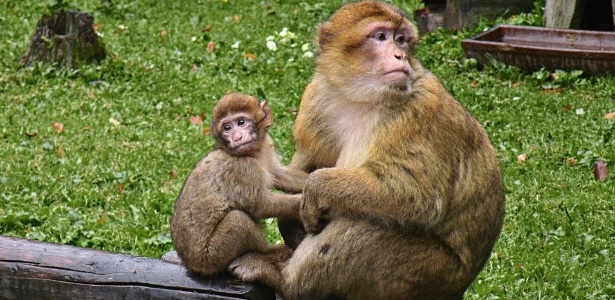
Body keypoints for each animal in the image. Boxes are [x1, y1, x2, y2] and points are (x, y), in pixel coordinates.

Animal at [170, 92, 306, 276]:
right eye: (227, 128)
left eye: (241, 122)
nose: (237, 137)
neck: (254, 153)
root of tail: (191, 264)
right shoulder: (244, 168)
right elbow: (261, 206)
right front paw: (307, 199)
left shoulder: (266, 146)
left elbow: (278, 175)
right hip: (212, 256)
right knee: (237, 219)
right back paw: (267, 252)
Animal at [231, 1, 506, 298]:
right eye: (381, 37)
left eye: (401, 40)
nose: (400, 55)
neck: (361, 98)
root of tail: (460, 286)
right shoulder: (318, 97)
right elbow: (306, 163)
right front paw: (288, 207)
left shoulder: (418, 112)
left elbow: (417, 196)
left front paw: (316, 187)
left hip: (433, 273)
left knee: (365, 221)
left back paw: (286, 281)